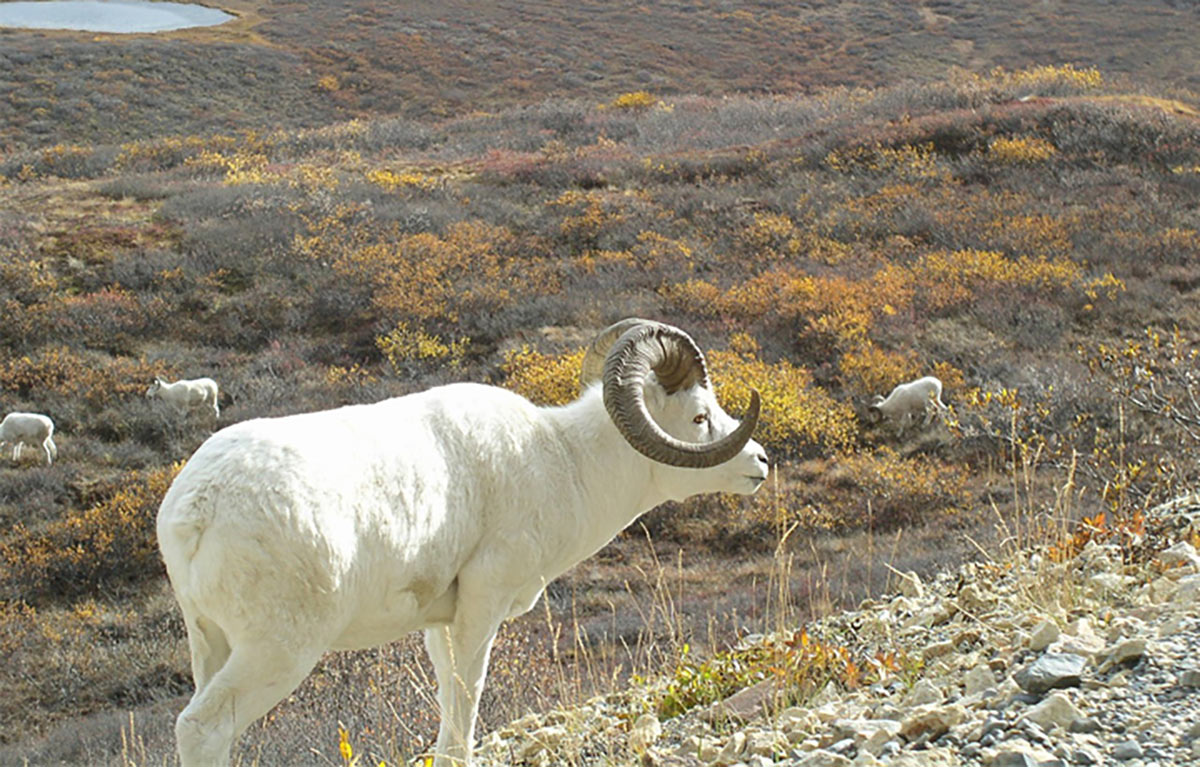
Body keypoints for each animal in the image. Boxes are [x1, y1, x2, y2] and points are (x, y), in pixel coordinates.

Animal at [157, 319, 769, 767]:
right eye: (699, 416)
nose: (760, 462)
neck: (564, 461)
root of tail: (199, 506)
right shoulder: (481, 606)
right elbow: (467, 695)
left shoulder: (439, 623)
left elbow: (448, 701)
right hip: (278, 651)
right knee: (202, 728)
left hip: (211, 644)